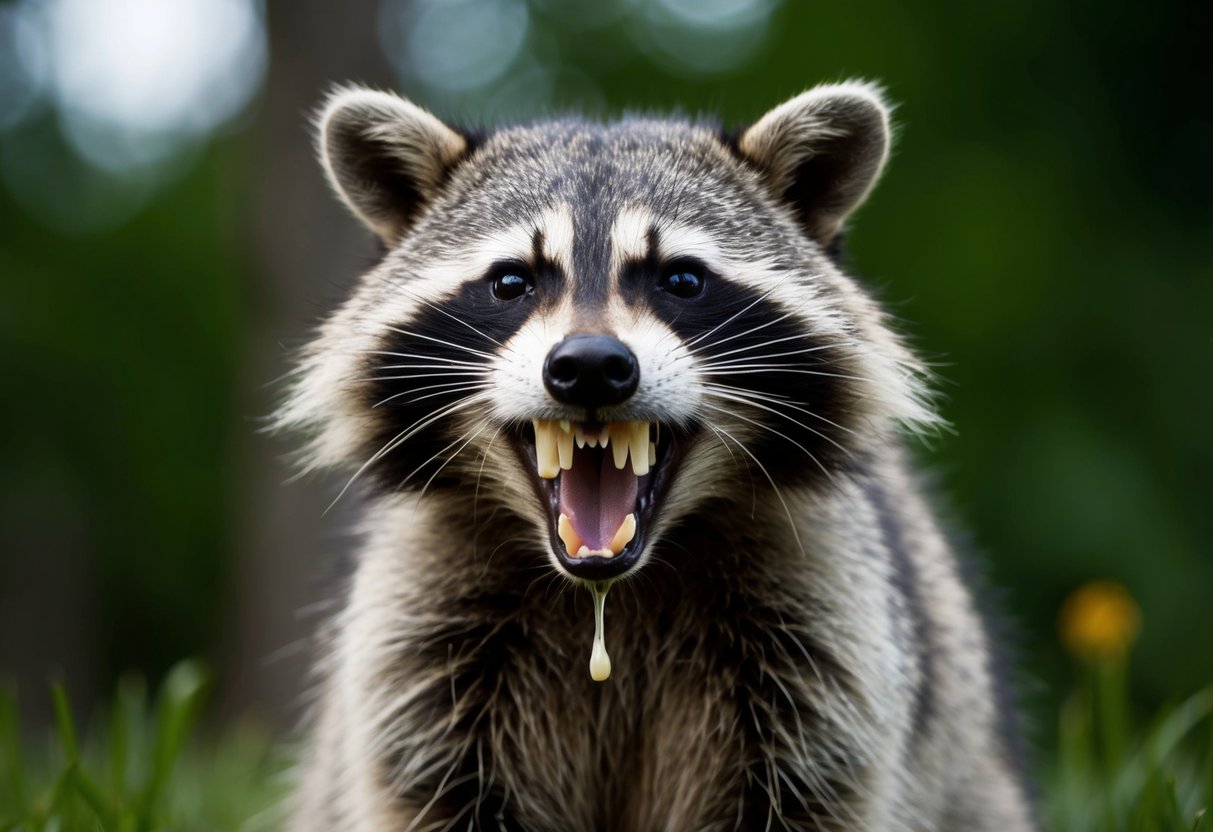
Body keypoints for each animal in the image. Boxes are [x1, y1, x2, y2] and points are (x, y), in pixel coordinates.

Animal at [279, 82, 1036, 831]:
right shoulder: (418, 642)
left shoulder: (827, 642)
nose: (589, 367)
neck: (612, 595)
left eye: (681, 280)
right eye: (511, 282)